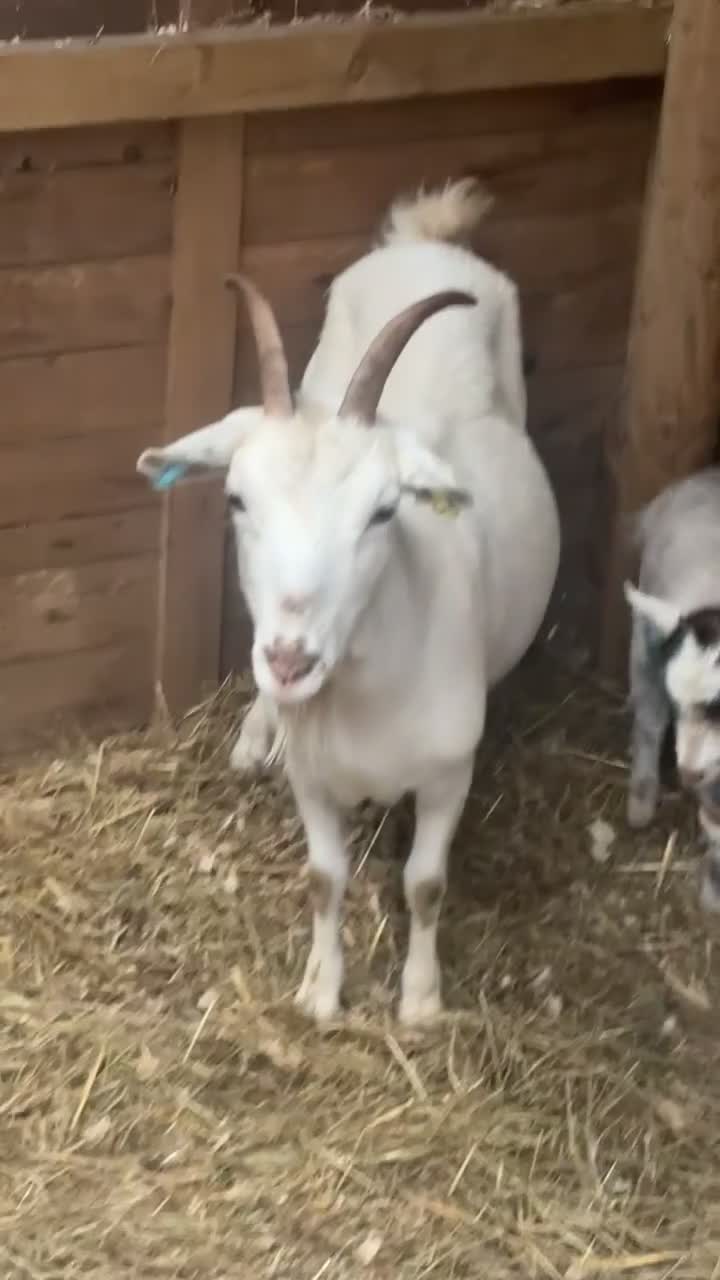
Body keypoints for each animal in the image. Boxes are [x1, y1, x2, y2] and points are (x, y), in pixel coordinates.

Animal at [137, 179, 561, 1025]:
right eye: (236, 499)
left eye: (384, 512)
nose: (290, 659)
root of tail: (423, 241)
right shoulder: (314, 779)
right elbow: (323, 880)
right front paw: (320, 991)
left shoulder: (447, 775)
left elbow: (426, 885)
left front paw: (421, 1002)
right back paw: (255, 734)